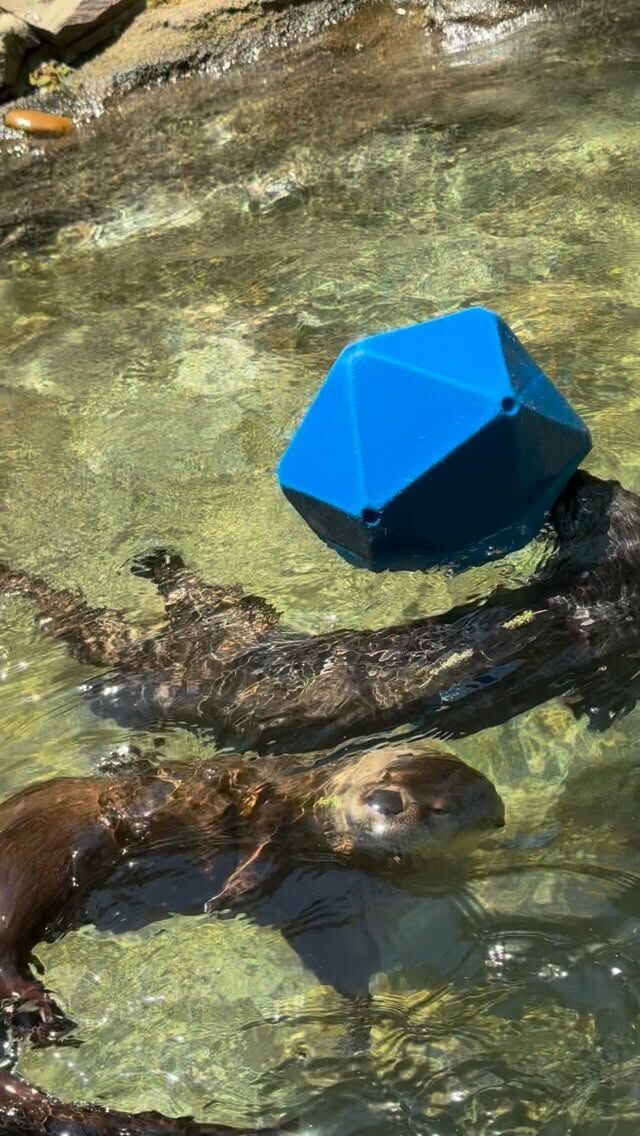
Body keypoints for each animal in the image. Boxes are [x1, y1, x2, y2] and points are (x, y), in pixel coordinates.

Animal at [0, 744, 503, 1134]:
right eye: (387, 774)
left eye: (439, 808)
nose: (385, 800)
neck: (316, 833)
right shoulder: (274, 809)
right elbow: (260, 837)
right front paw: (227, 893)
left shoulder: (324, 904)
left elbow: (343, 963)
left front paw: (358, 1023)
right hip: (21, 872)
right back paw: (41, 1010)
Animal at [2, 470, 639, 753]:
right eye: (596, 486)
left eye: (581, 499)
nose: (575, 477)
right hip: (233, 618)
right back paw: (154, 561)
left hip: (190, 661)